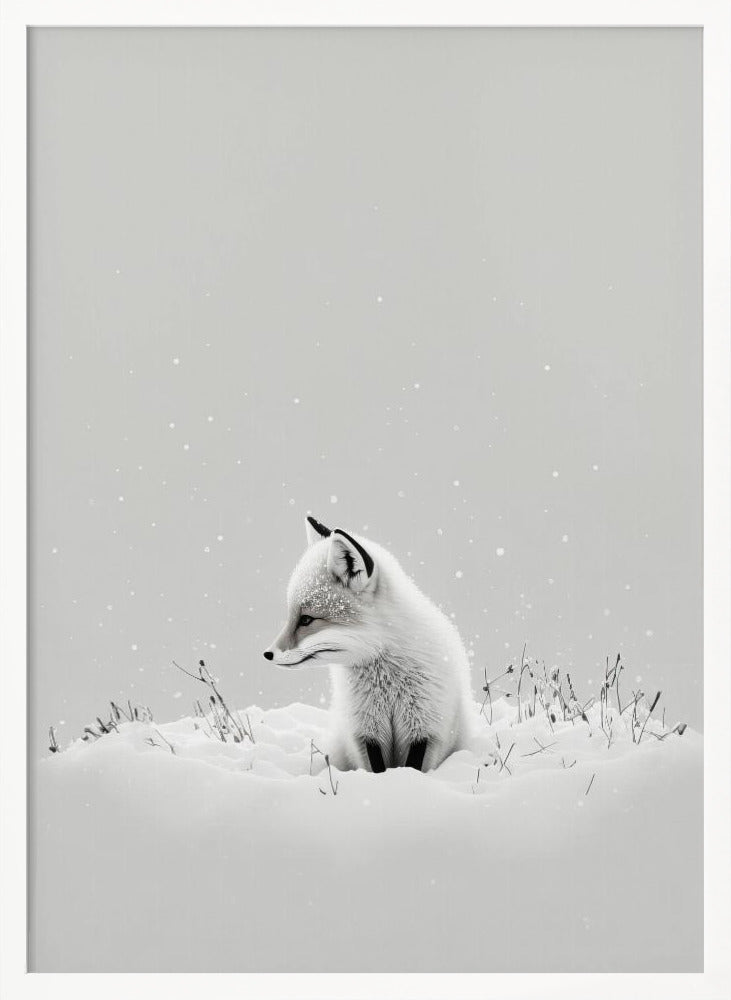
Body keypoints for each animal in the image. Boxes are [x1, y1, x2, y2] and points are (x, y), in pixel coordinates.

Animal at [264, 515, 474, 773]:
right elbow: (376, 768)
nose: (268, 654)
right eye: (292, 616)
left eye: (306, 619)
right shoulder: (365, 730)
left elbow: (412, 767)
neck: (387, 682)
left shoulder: (425, 727)